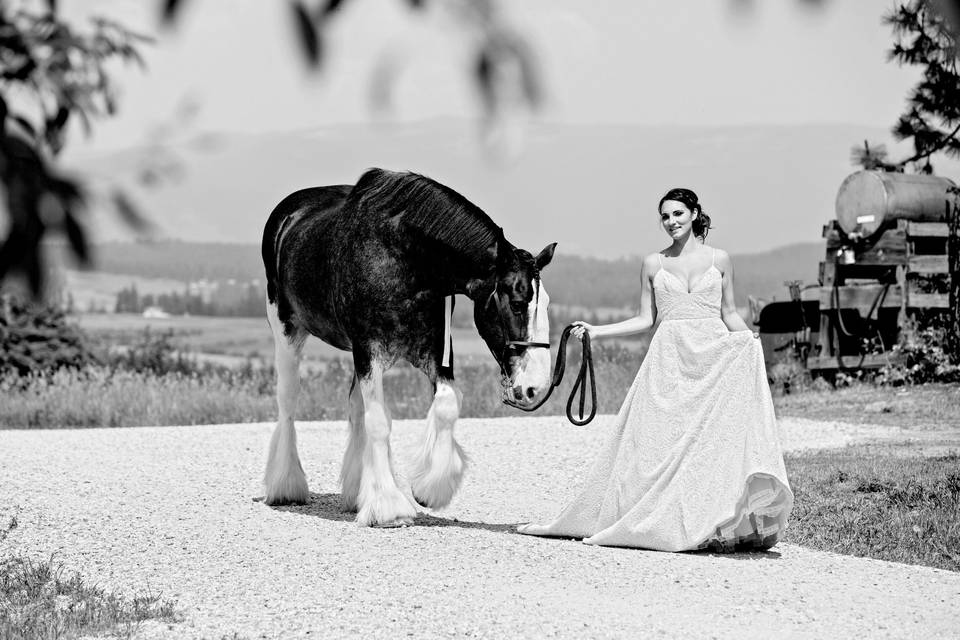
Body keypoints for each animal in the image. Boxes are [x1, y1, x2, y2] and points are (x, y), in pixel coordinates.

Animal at [258, 168, 560, 528]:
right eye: (516, 303)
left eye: (546, 303)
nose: (535, 387)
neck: (404, 259)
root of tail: (288, 213)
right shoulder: (368, 350)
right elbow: (379, 422)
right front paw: (389, 508)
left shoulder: (435, 352)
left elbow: (446, 404)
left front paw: (430, 488)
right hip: (286, 330)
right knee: (288, 401)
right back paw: (286, 486)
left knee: (355, 409)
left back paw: (356, 492)